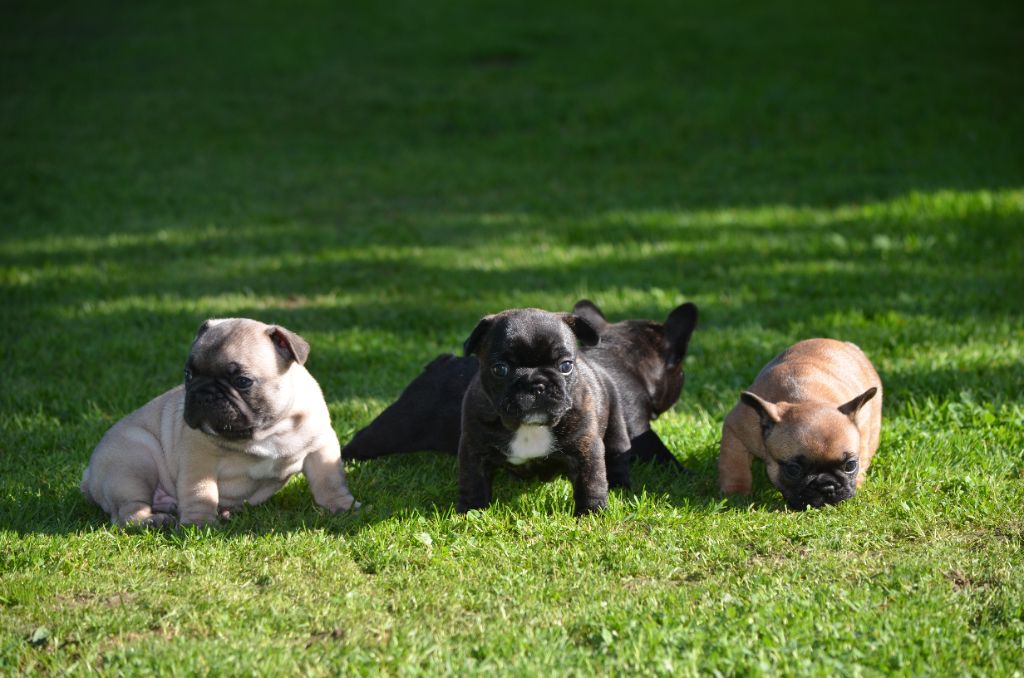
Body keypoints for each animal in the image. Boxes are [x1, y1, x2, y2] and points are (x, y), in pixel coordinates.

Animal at [76, 315, 356, 528]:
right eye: (188, 374)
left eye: (242, 381)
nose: (203, 393)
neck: (266, 431)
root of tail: (89, 477)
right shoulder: (199, 460)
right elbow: (201, 492)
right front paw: (199, 524)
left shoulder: (321, 447)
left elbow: (329, 481)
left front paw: (342, 506)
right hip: (133, 465)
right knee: (127, 513)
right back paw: (155, 521)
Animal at [456, 311, 630, 518]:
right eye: (500, 369)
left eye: (566, 366)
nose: (536, 385)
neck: (529, 427)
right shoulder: (474, 449)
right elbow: (472, 481)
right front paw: (470, 510)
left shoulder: (586, 448)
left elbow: (591, 482)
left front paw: (591, 513)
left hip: (615, 425)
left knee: (617, 452)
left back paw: (619, 484)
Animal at [716, 340, 884, 510]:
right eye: (793, 470)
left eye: (850, 465)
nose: (827, 486)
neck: (806, 399)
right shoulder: (736, 431)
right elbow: (735, 465)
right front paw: (736, 494)